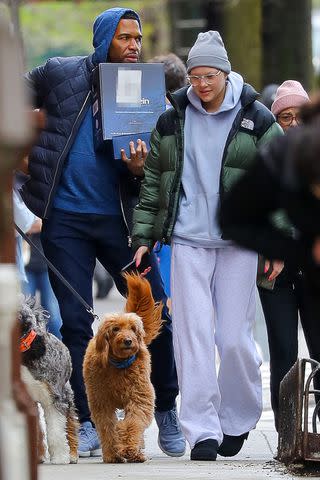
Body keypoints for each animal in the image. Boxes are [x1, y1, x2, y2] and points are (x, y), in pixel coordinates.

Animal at [18, 298, 79, 464]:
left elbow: (56, 431)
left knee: (70, 421)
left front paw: (60, 457)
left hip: (66, 392)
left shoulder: (54, 398)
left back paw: (72, 454)